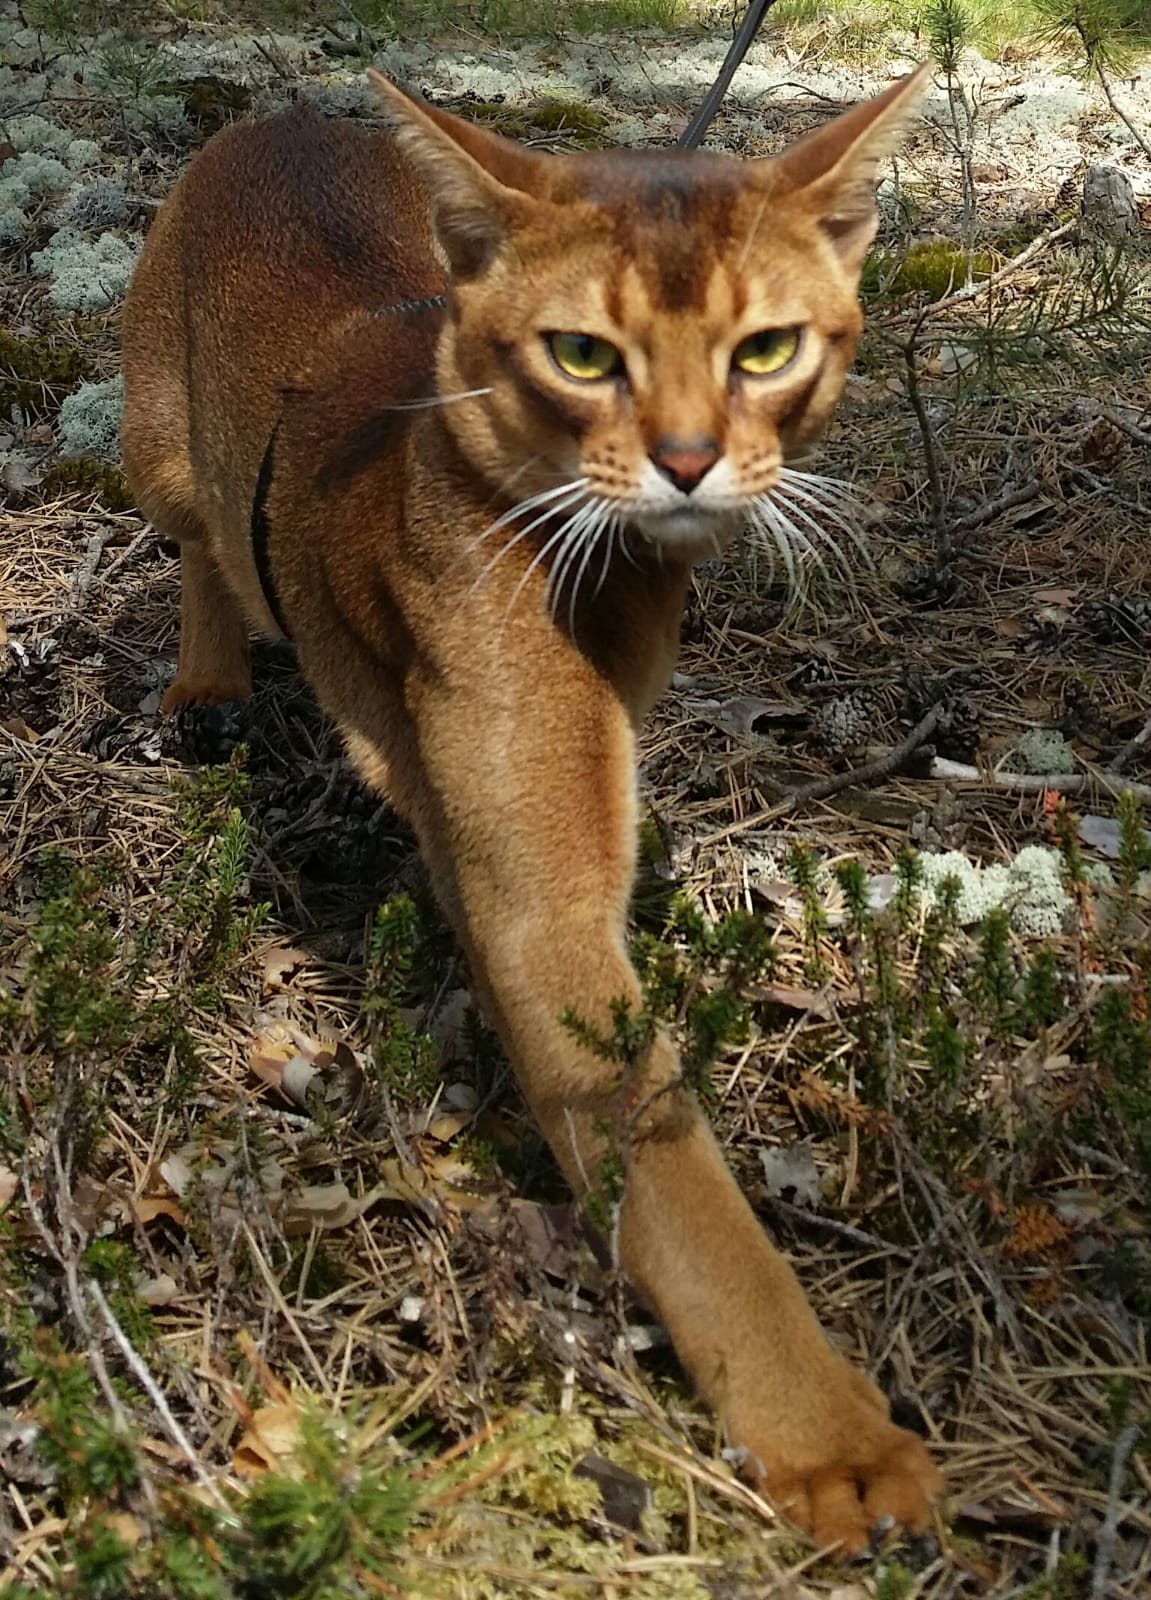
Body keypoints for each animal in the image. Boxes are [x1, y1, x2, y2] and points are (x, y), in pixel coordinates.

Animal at [119, 65, 947, 1548]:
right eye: (580, 356)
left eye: (762, 351)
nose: (688, 461)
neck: (610, 582)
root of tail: (278, 115)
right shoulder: (551, 928)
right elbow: (681, 1190)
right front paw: (833, 1442)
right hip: (155, 439)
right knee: (204, 537)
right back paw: (209, 679)